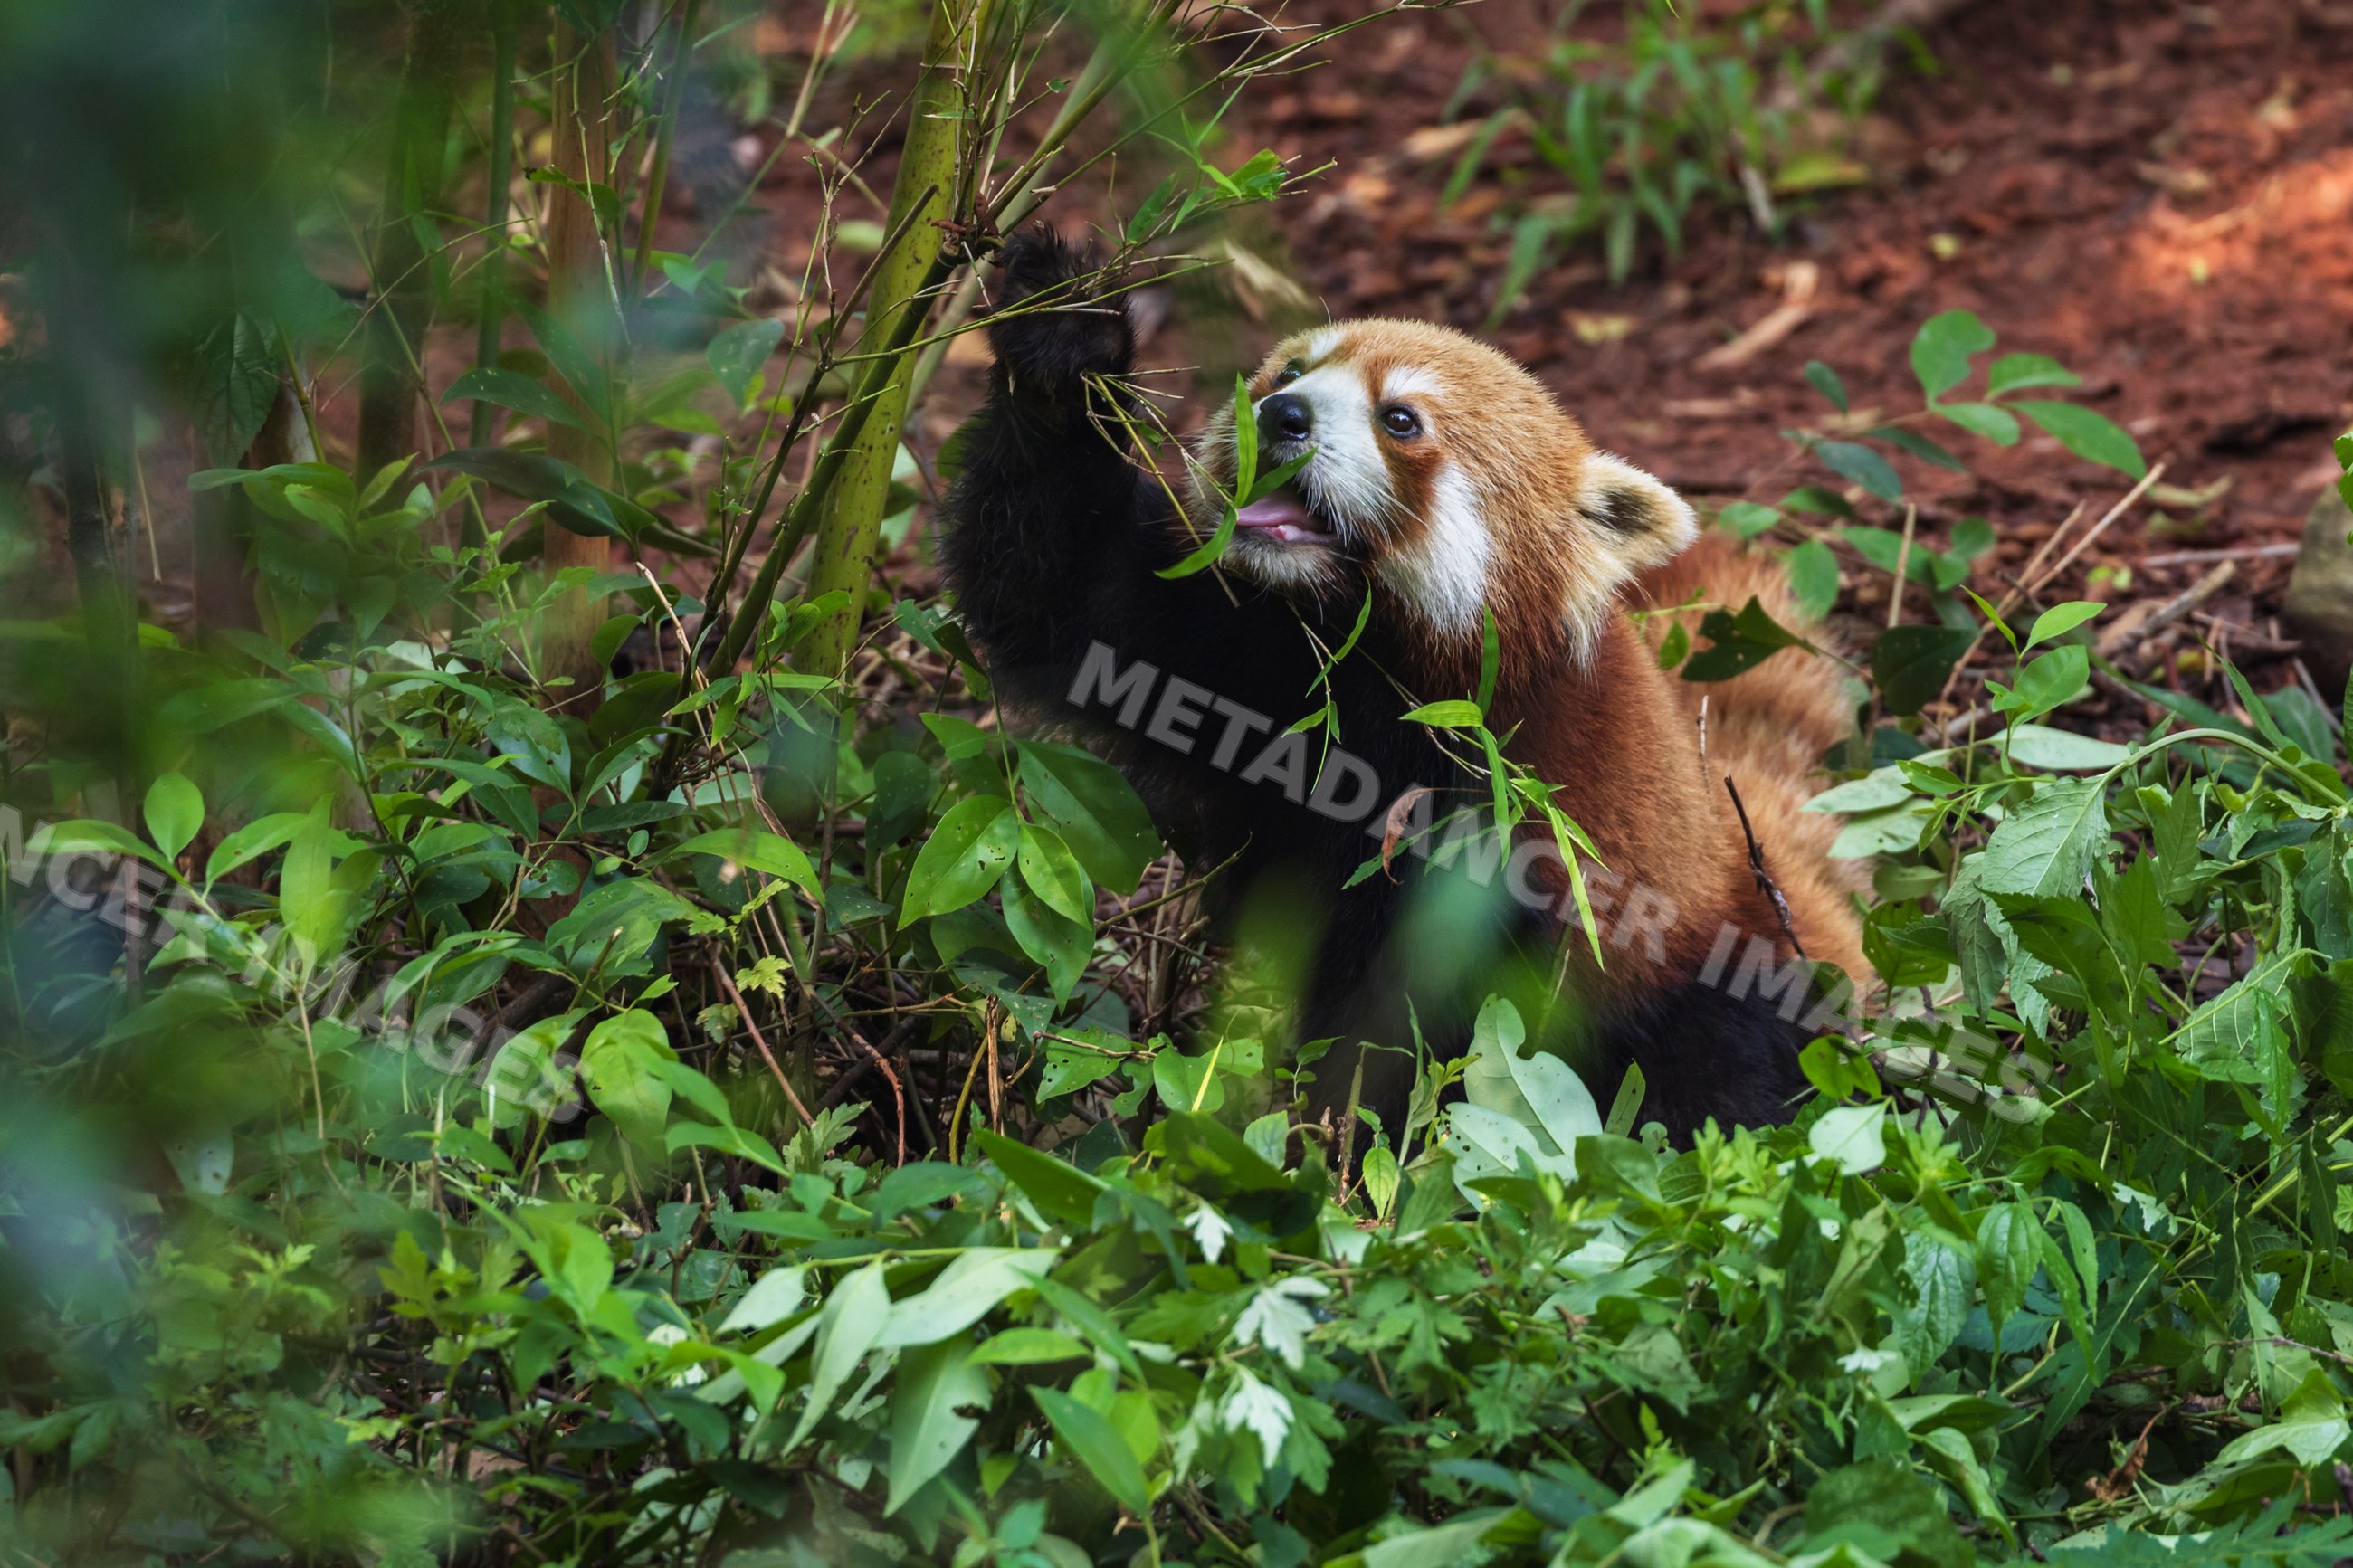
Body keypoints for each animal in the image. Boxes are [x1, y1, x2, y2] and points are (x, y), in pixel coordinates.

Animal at [940, 228, 1869, 1146]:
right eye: (1289, 370)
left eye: (1399, 418)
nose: (1281, 415)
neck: (1363, 664)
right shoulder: (1218, 644)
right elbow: (1062, 598)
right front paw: (1065, 332)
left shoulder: (1513, 811)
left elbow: (1421, 1011)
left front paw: (1344, 1131)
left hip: (1716, 983)